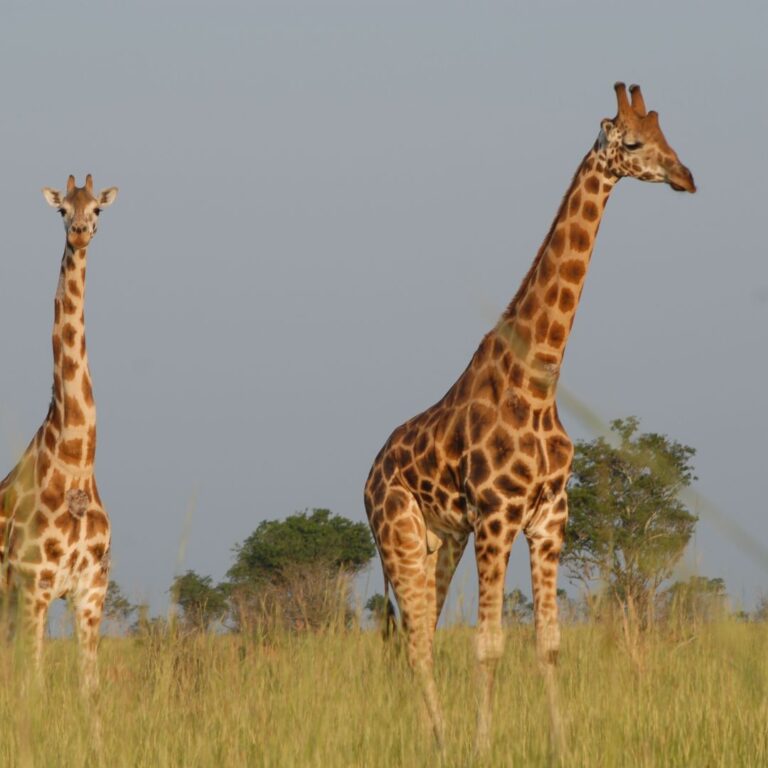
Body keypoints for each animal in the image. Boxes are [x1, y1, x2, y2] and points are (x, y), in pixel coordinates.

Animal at [364, 83, 695, 749]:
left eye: (666, 135)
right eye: (635, 143)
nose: (686, 176)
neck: (540, 379)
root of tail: (364, 481)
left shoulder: (549, 517)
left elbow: (549, 644)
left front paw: (562, 745)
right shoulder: (497, 516)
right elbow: (490, 645)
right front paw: (482, 747)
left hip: (441, 540)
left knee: (422, 635)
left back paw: (433, 736)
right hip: (398, 538)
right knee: (416, 643)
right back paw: (443, 742)